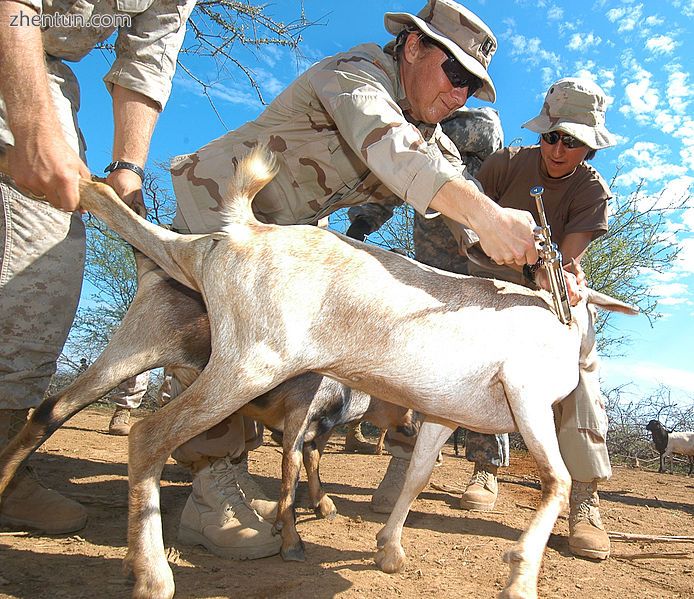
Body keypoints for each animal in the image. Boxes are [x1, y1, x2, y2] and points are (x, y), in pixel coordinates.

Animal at [1, 146, 640, 599]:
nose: (587, 355)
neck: (554, 318)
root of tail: (241, 233)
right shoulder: (526, 397)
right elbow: (557, 481)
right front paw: (520, 579)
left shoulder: (440, 416)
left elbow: (415, 478)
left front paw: (388, 552)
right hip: (247, 365)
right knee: (148, 436)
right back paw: (152, 577)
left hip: (153, 338)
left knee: (53, 405)